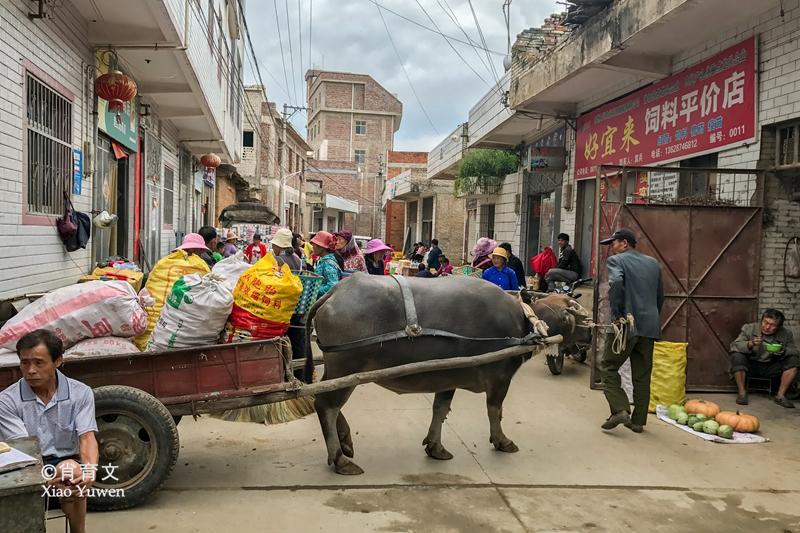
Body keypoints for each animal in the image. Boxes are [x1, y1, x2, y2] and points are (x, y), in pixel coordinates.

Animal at [306, 274, 544, 474]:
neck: (519, 322)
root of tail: (335, 291)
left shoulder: (448, 377)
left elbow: (440, 409)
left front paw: (435, 446)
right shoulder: (500, 378)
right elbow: (495, 411)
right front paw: (503, 441)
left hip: (336, 370)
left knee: (320, 398)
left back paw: (345, 440)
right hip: (347, 367)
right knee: (327, 405)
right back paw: (340, 459)